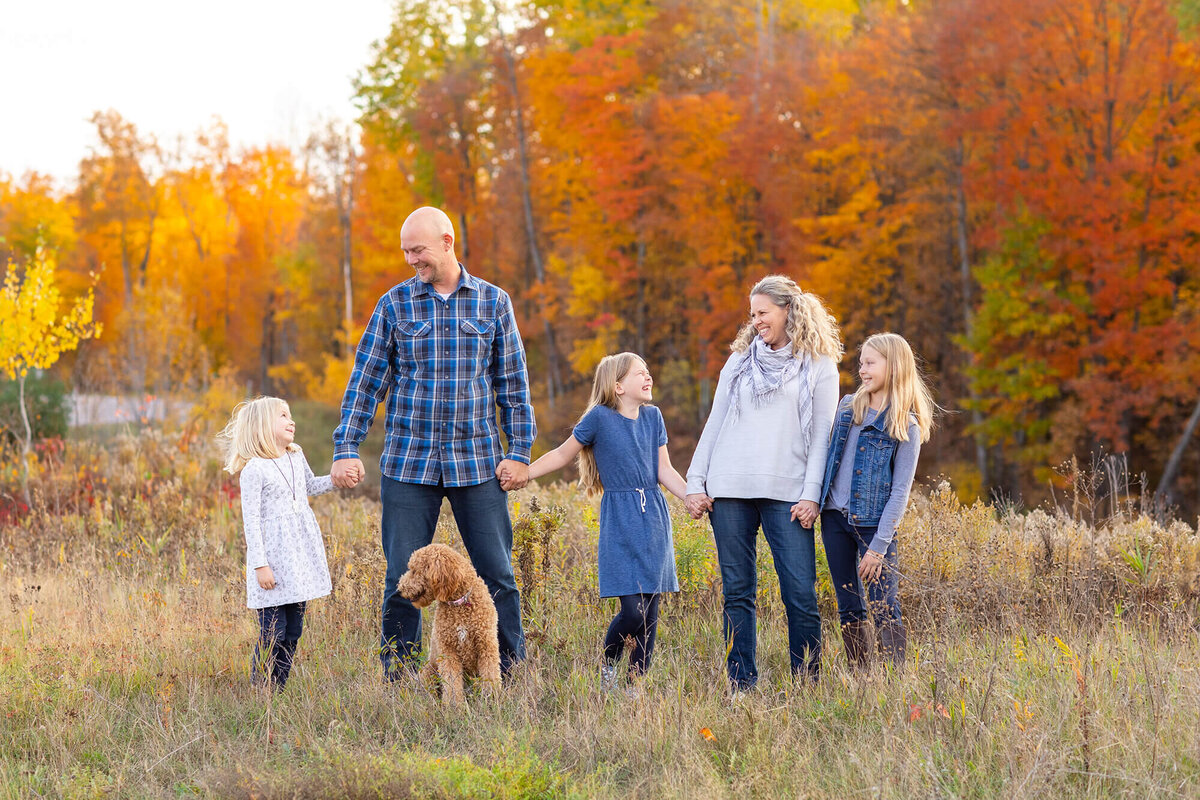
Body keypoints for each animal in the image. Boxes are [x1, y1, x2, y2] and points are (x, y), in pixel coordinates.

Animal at [398, 542, 501, 705]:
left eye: (414, 570)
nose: (399, 589)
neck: (460, 604)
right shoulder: (448, 652)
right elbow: (451, 683)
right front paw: (454, 706)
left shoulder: (486, 646)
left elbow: (490, 675)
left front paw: (491, 699)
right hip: (429, 671)